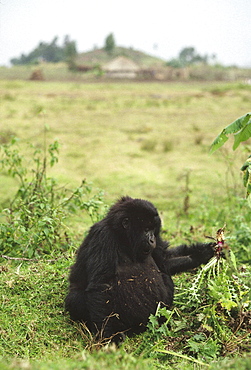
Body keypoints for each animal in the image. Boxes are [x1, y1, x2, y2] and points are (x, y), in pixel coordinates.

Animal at [64, 195, 214, 342]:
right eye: (146, 229)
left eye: (153, 230)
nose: (153, 239)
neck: (122, 237)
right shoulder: (103, 236)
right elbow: (101, 285)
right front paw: (107, 335)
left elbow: (164, 261)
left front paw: (203, 253)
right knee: (76, 296)